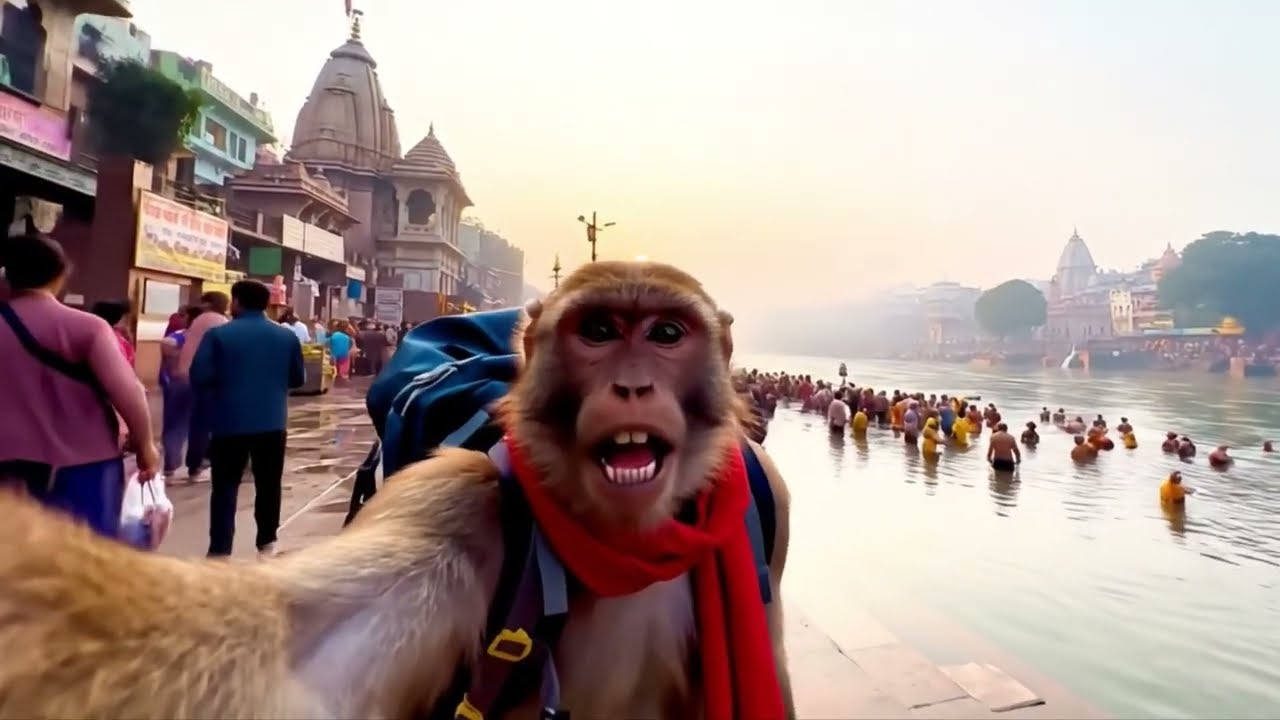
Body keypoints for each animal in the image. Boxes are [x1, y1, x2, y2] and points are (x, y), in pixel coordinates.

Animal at [0, 260, 794, 720]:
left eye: (666, 334)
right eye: (599, 331)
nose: (633, 386)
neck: (615, 544)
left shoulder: (773, 513)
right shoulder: (454, 500)